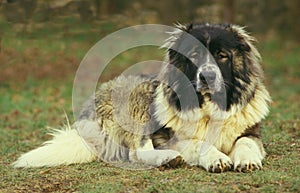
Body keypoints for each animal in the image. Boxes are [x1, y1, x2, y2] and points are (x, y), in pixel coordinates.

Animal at [12, 23, 270, 173]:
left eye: (222, 55)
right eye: (195, 55)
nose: (207, 76)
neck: (207, 108)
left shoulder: (250, 132)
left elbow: (245, 142)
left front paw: (247, 160)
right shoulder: (172, 137)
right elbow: (199, 143)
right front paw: (217, 158)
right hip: (139, 100)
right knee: (137, 151)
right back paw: (168, 159)